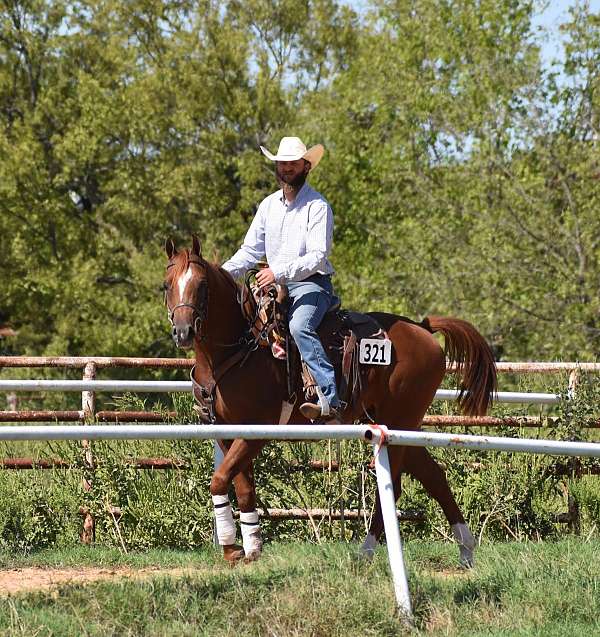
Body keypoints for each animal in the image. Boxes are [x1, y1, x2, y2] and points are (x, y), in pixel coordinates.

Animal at [164, 236, 496, 564]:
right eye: (166, 285)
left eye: (202, 285)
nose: (183, 331)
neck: (238, 349)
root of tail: (423, 329)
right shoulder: (226, 432)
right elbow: (242, 487)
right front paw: (250, 548)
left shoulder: (256, 432)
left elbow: (220, 479)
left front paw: (233, 548)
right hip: (399, 423)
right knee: (434, 476)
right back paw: (465, 549)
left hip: (399, 420)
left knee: (395, 484)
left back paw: (366, 552)